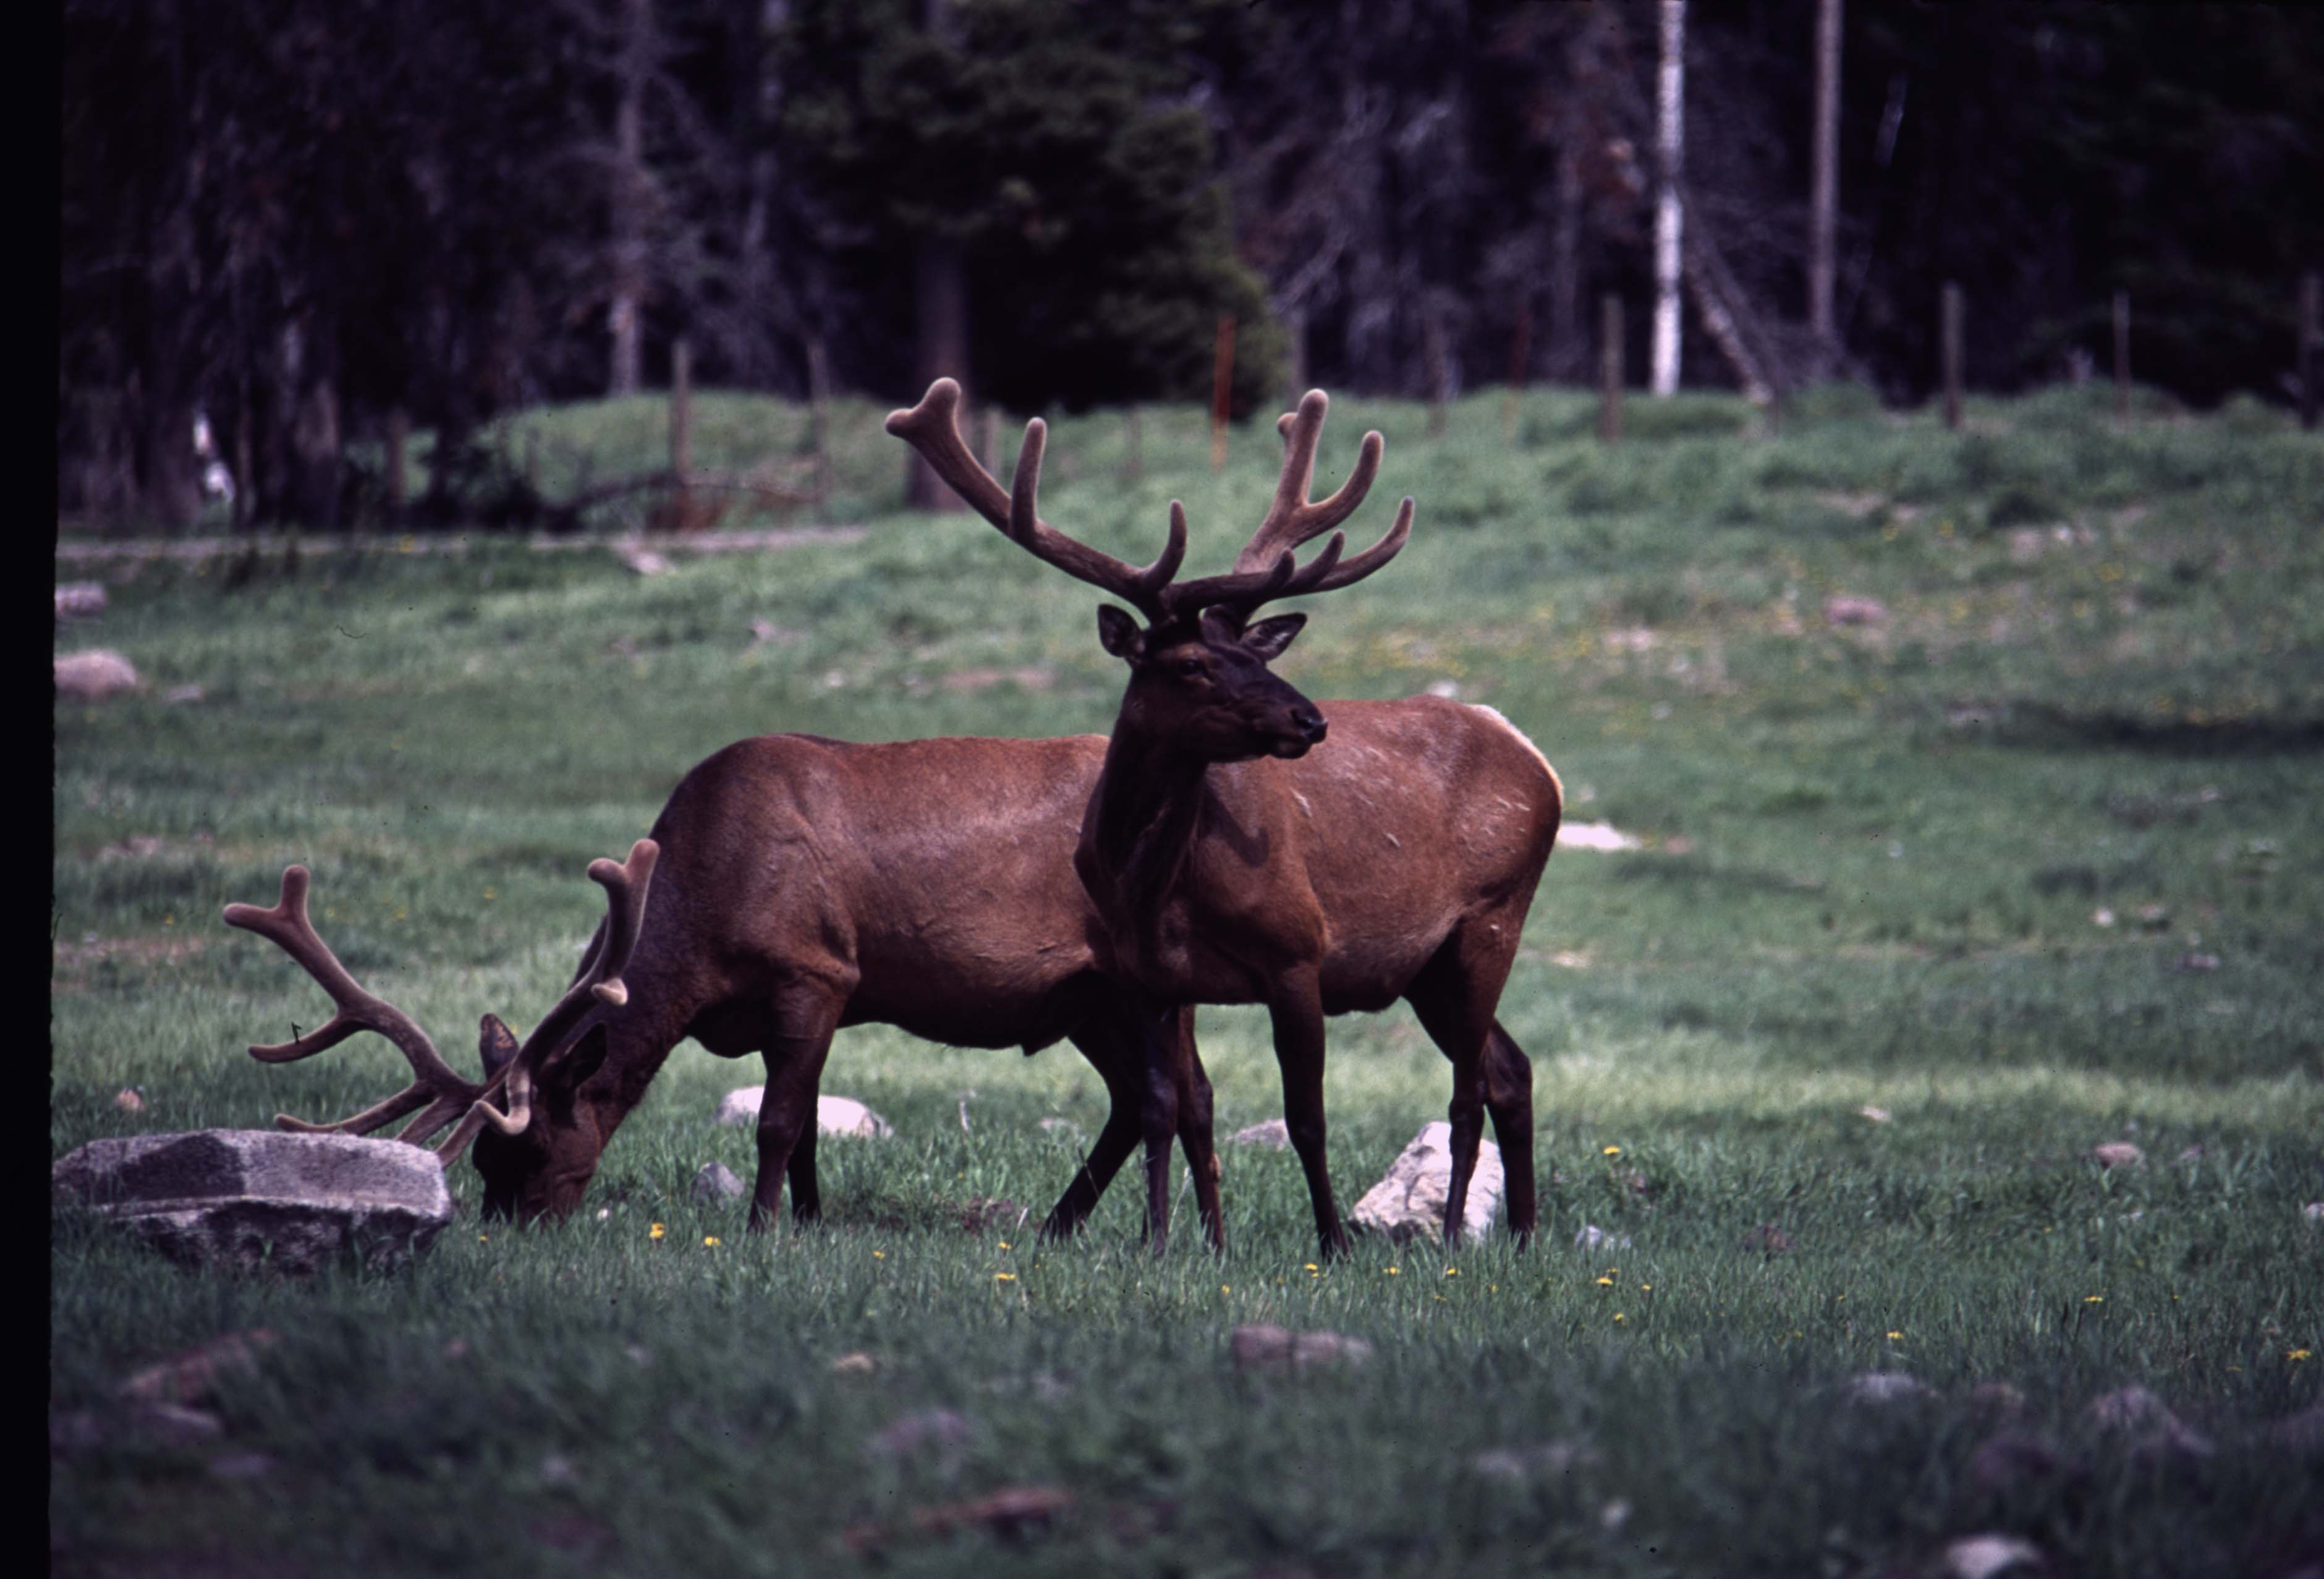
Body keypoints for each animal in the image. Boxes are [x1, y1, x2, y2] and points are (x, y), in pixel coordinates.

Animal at [221, 741, 1227, 1247]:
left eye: (535, 1148)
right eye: (481, 1163)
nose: (512, 1229)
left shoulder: (815, 971)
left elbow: (780, 1122)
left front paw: (759, 1231)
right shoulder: (808, 1002)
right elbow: (812, 1123)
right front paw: (811, 1225)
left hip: (1139, 979)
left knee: (1179, 1094)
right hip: (1087, 998)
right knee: (1144, 1096)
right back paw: (1077, 1228)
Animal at [888, 378, 1562, 1259]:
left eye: (1256, 654)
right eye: (1192, 662)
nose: (1309, 719)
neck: (1154, 884)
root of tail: (1532, 754)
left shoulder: (1299, 951)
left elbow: (1306, 1118)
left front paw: (1331, 1244)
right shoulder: (1146, 973)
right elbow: (1167, 1107)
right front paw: (1166, 1240)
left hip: (1492, 917)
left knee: (1466, 1087)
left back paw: (1452, 1237)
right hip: (1427, 965)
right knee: (1508, 1070)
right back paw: (1522, 1236)